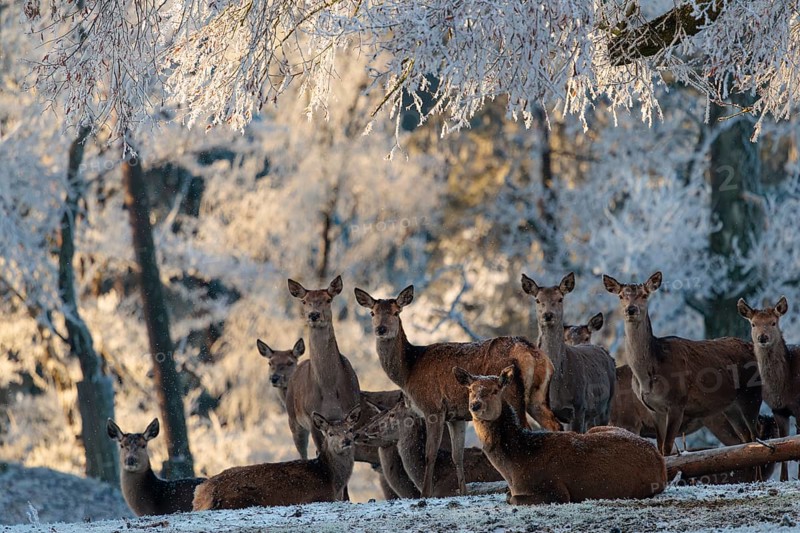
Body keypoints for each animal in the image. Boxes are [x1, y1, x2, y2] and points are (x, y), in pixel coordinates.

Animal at [192, 406, 361, 510]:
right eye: (331, 433)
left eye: (350, 429)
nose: (346, 441)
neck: (332, 480)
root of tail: (203, 490)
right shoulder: (319, 496)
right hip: (241, 498)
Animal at [455, 366, 666, 505]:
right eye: (471, 390)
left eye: (494, 390)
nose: (475, 405)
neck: (515, 467)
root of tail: (661, 463)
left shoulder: (556, 489)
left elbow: (512, 498)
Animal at [602, 271, 762, 456]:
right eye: (621, 296)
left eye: (644, 295)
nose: (631, 309)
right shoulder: (653, 410)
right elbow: (660, 449)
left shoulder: (676, 403)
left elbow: (667, 447)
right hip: (730, 406)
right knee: (747, 438)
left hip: (751, 394)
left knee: (758, 435)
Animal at [738, 296, 800, 481]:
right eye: (753, 324)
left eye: (773, 323)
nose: (762, 337)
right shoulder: (778, 410)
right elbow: (783, 440)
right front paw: (783, 478)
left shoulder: (799, 405)